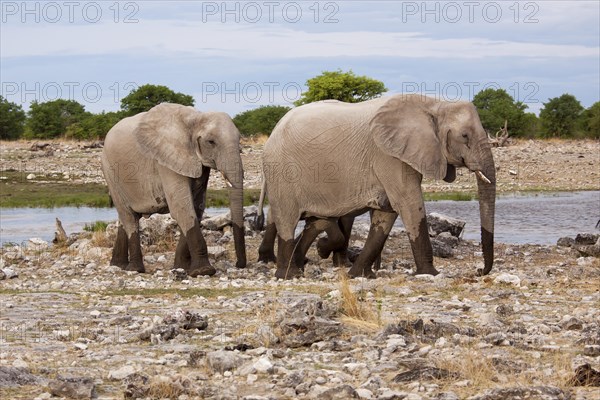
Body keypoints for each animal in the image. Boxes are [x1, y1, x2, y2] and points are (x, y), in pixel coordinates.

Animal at [102, 103, 247, 276]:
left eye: (239, 140)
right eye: (211, 142)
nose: (239, 264)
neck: (195, 118)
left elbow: (196, 208)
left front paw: (181, 267)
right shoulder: (166, 161)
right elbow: (182, 208)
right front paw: (203, 271)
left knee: (124, 218)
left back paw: (117, 265)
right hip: (110, 172)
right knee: (129, 216)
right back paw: (135, 269)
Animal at [264, 95, 496, 280]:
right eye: (464, 136)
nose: (479, 271)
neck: (435, 103)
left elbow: (386, 212)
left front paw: (360, 275)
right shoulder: (388, 156)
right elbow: (408, 203)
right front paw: (430, 274)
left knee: (316, 220)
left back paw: (304, 262)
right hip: (281, 173)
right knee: (287, 219)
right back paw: (289, 275)